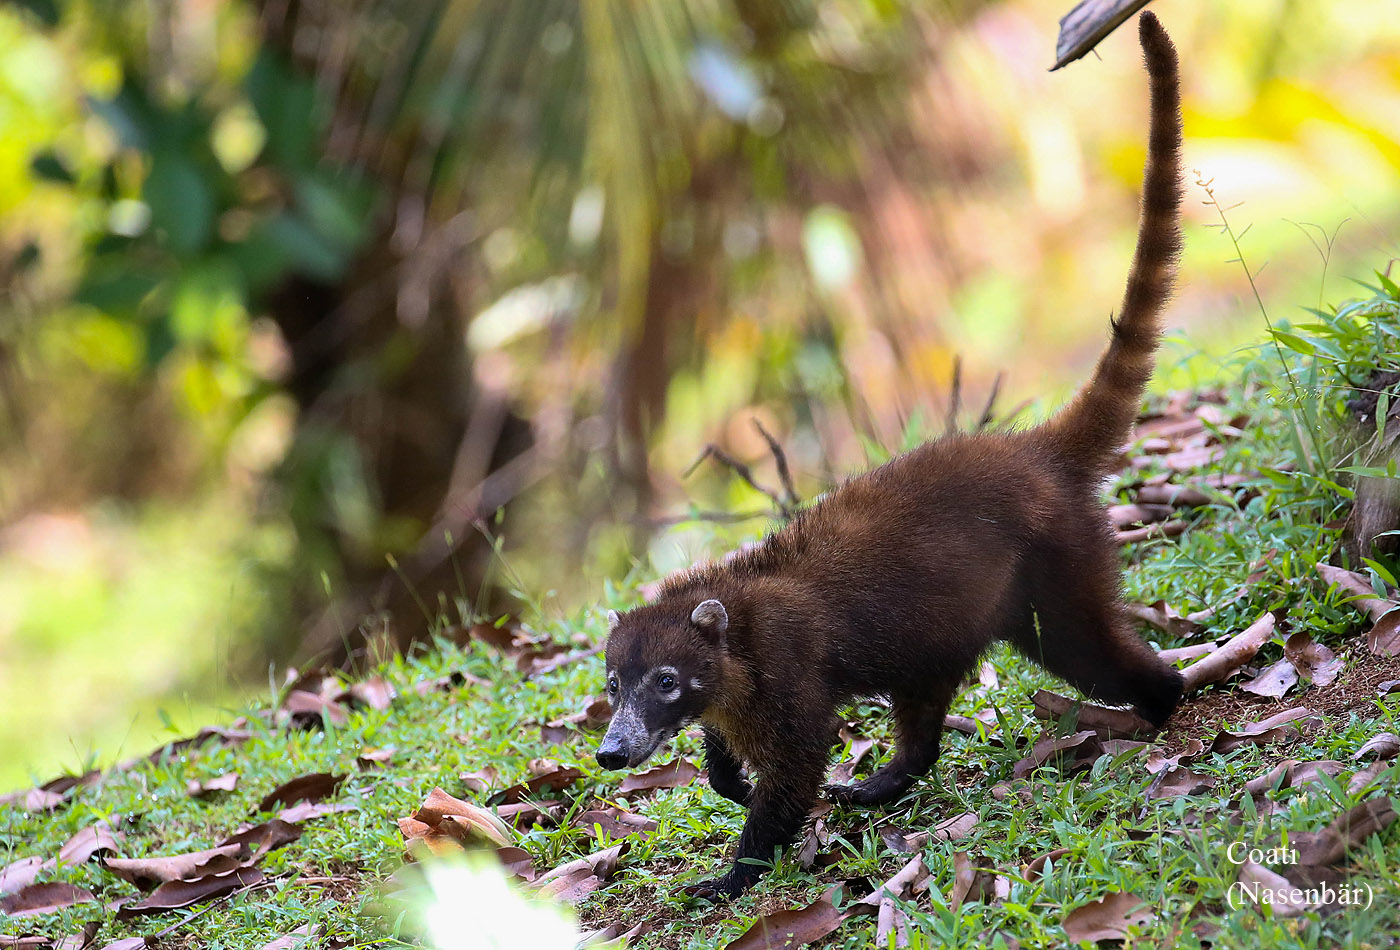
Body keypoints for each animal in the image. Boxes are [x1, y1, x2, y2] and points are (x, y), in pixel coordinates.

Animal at [595, 12, 1185, 900]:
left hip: (1056, 569)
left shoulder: (790, 673)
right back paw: (890, 777)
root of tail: (1033, 450)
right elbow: (730, 760)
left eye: (665, 683)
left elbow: (798, 764)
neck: (734, 618)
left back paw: (1165, 705)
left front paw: (737, 871)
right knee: (925, 710)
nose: (609, 752)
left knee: (1093, 653)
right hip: (950, 622)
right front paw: (724, 773)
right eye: (612, 684)